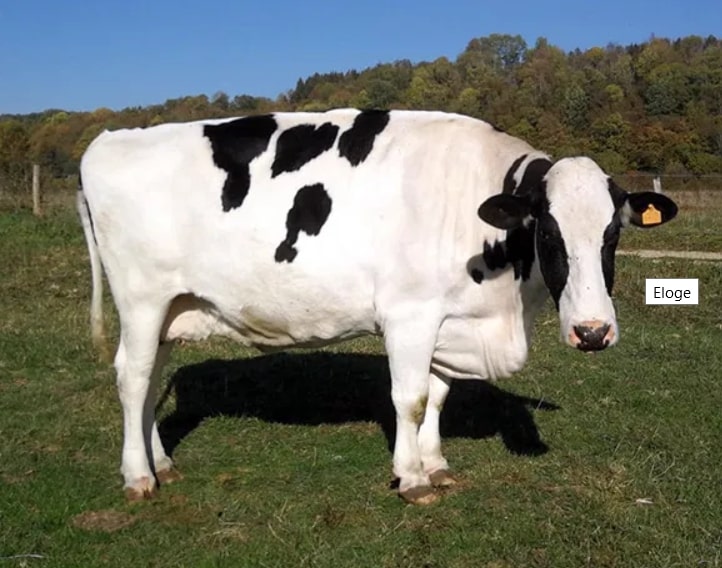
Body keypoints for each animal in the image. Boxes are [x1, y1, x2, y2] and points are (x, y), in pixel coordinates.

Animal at [77, 109, 677, 504]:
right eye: (548, 232)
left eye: (613, 234)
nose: (593, 331)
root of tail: (108, 140)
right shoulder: (409, 315)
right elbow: (409, 400)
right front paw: (410, 479)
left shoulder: (446, 318)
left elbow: (438, 395)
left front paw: (436, 465)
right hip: (141, 298)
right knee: (132, 378)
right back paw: (138, 476)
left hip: (168, 308)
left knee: (150, 378)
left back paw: (163, 463)